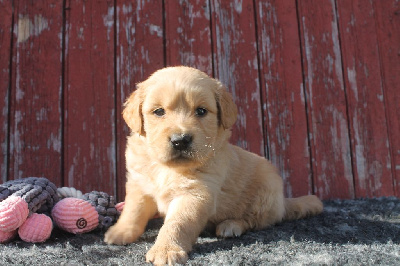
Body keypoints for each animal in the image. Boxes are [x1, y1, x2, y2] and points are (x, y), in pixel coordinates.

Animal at [104, 66, 324, 264]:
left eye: (201, 111)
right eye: (158, 112)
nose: (180, 140)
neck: (168, 168)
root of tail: (282, 202)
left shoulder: (196, 194)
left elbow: (177, 223)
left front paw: (166, 249)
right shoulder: (139, 185)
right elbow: (133, 211)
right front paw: (120, 232)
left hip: (265, 193)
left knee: (255, 221)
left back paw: (231, 226)